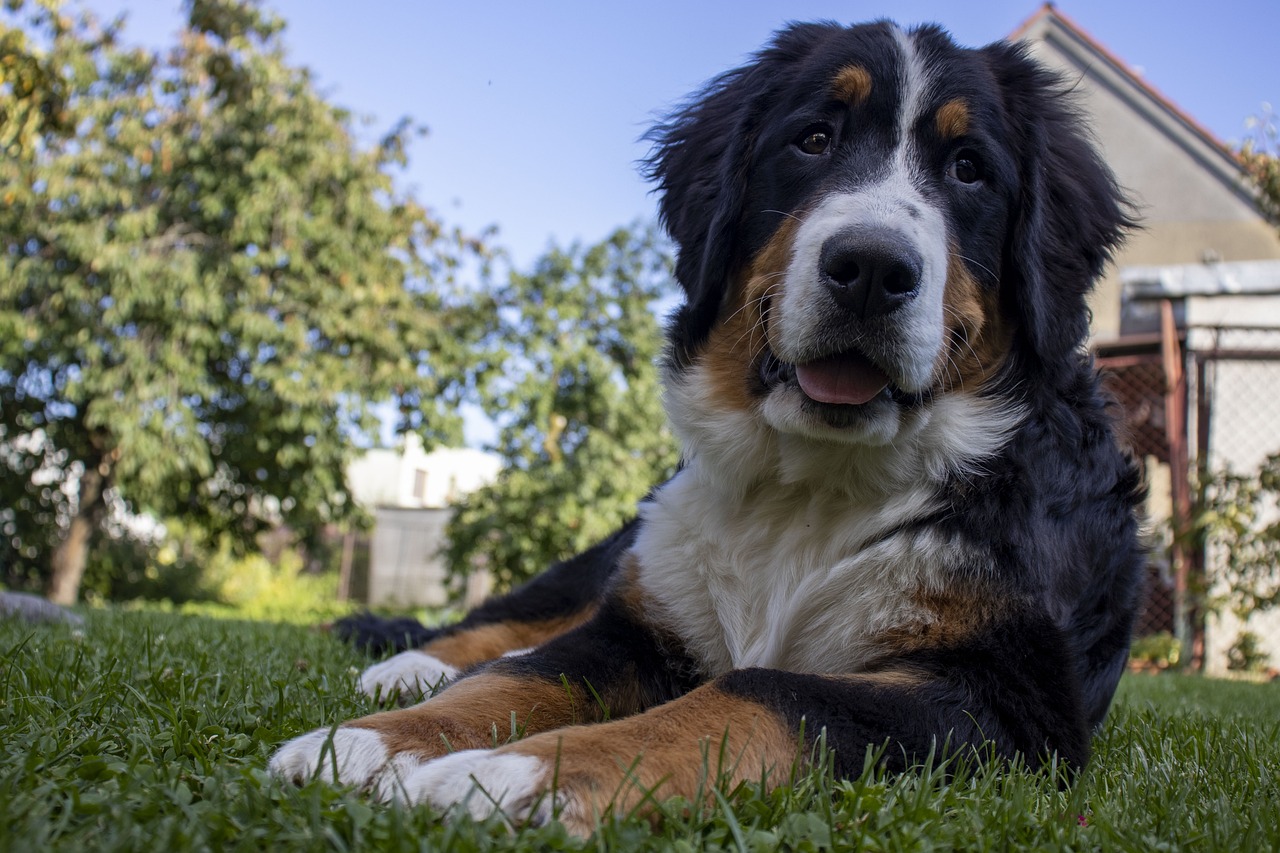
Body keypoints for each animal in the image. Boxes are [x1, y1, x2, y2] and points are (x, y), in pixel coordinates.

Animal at [264, 19, 1146, 829]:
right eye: (814, 139)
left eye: (969, 168)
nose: (869, 266)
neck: (810, 488)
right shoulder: (640, 626)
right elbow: (536, 673)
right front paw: (372, 741)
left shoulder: (1010, 703)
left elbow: (762, 689)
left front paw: (517, 774)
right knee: (513, 621)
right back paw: (412, 665)